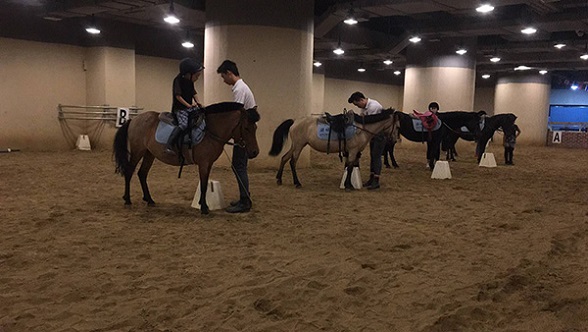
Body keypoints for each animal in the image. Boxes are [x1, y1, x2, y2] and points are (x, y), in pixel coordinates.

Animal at [112, 102, 260, 215]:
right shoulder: (203, 163)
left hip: (149, 154)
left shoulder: (208, 164)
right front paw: (204, 208)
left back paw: (149, 200)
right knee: (129, 172)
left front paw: (202, 204)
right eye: (246, 128)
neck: (210, 131)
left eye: (255, 128)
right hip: (138, 152)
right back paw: (127, 199)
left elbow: (205, 183)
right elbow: (204, 184)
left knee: (142, 174)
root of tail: (134, 120)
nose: (255, 152)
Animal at [268, 109, 400, 189]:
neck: (361, 129)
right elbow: (350, 167)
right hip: (299, 146)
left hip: (295, 145)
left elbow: (350, 166)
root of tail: (295, 121)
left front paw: (349, 184)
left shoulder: (354, 152)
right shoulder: (353, 151)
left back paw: (279, 179)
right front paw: (348, 185)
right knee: (292, 162)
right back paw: (297, 183)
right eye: (398, 126)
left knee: (284, 158)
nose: (394, 140)